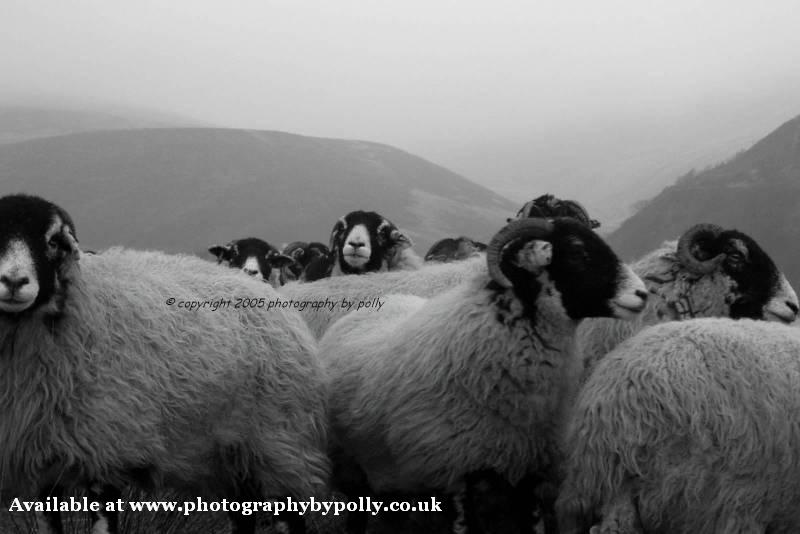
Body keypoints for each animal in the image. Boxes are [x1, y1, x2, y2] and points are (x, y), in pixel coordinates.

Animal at [0, 195, 332, 532]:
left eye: (53, 241)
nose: (13, 282)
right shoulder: (39, 462)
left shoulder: (105, 449)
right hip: (231, 455)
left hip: (277, 442)